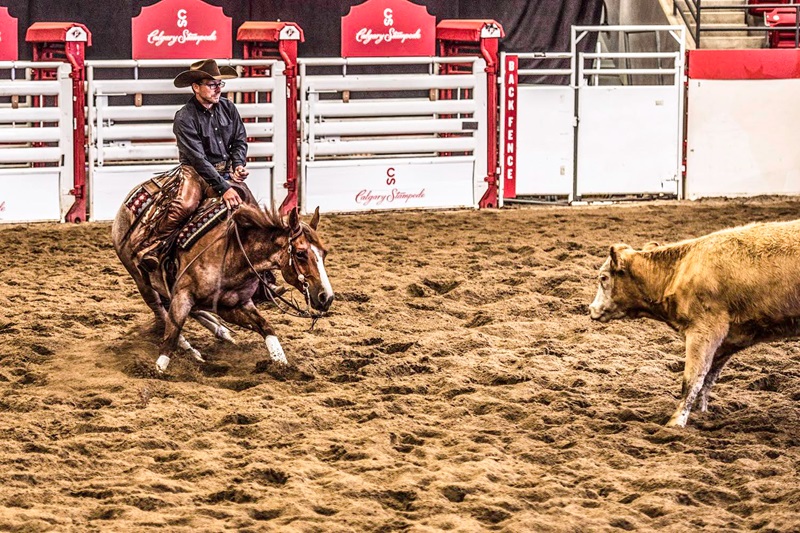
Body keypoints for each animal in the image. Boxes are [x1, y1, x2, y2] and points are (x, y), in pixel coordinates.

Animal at [111, 186, 334, 373]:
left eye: (324, 253)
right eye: (301, 253)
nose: (327, 297)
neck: (234, 256)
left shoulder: (231, 305)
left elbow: (266, 327)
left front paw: (282, 365)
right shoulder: (183, 296)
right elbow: (171, 336)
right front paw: (157, 370)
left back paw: (220, 332)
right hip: (143, 282)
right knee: (162, 313)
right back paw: (192, 348)